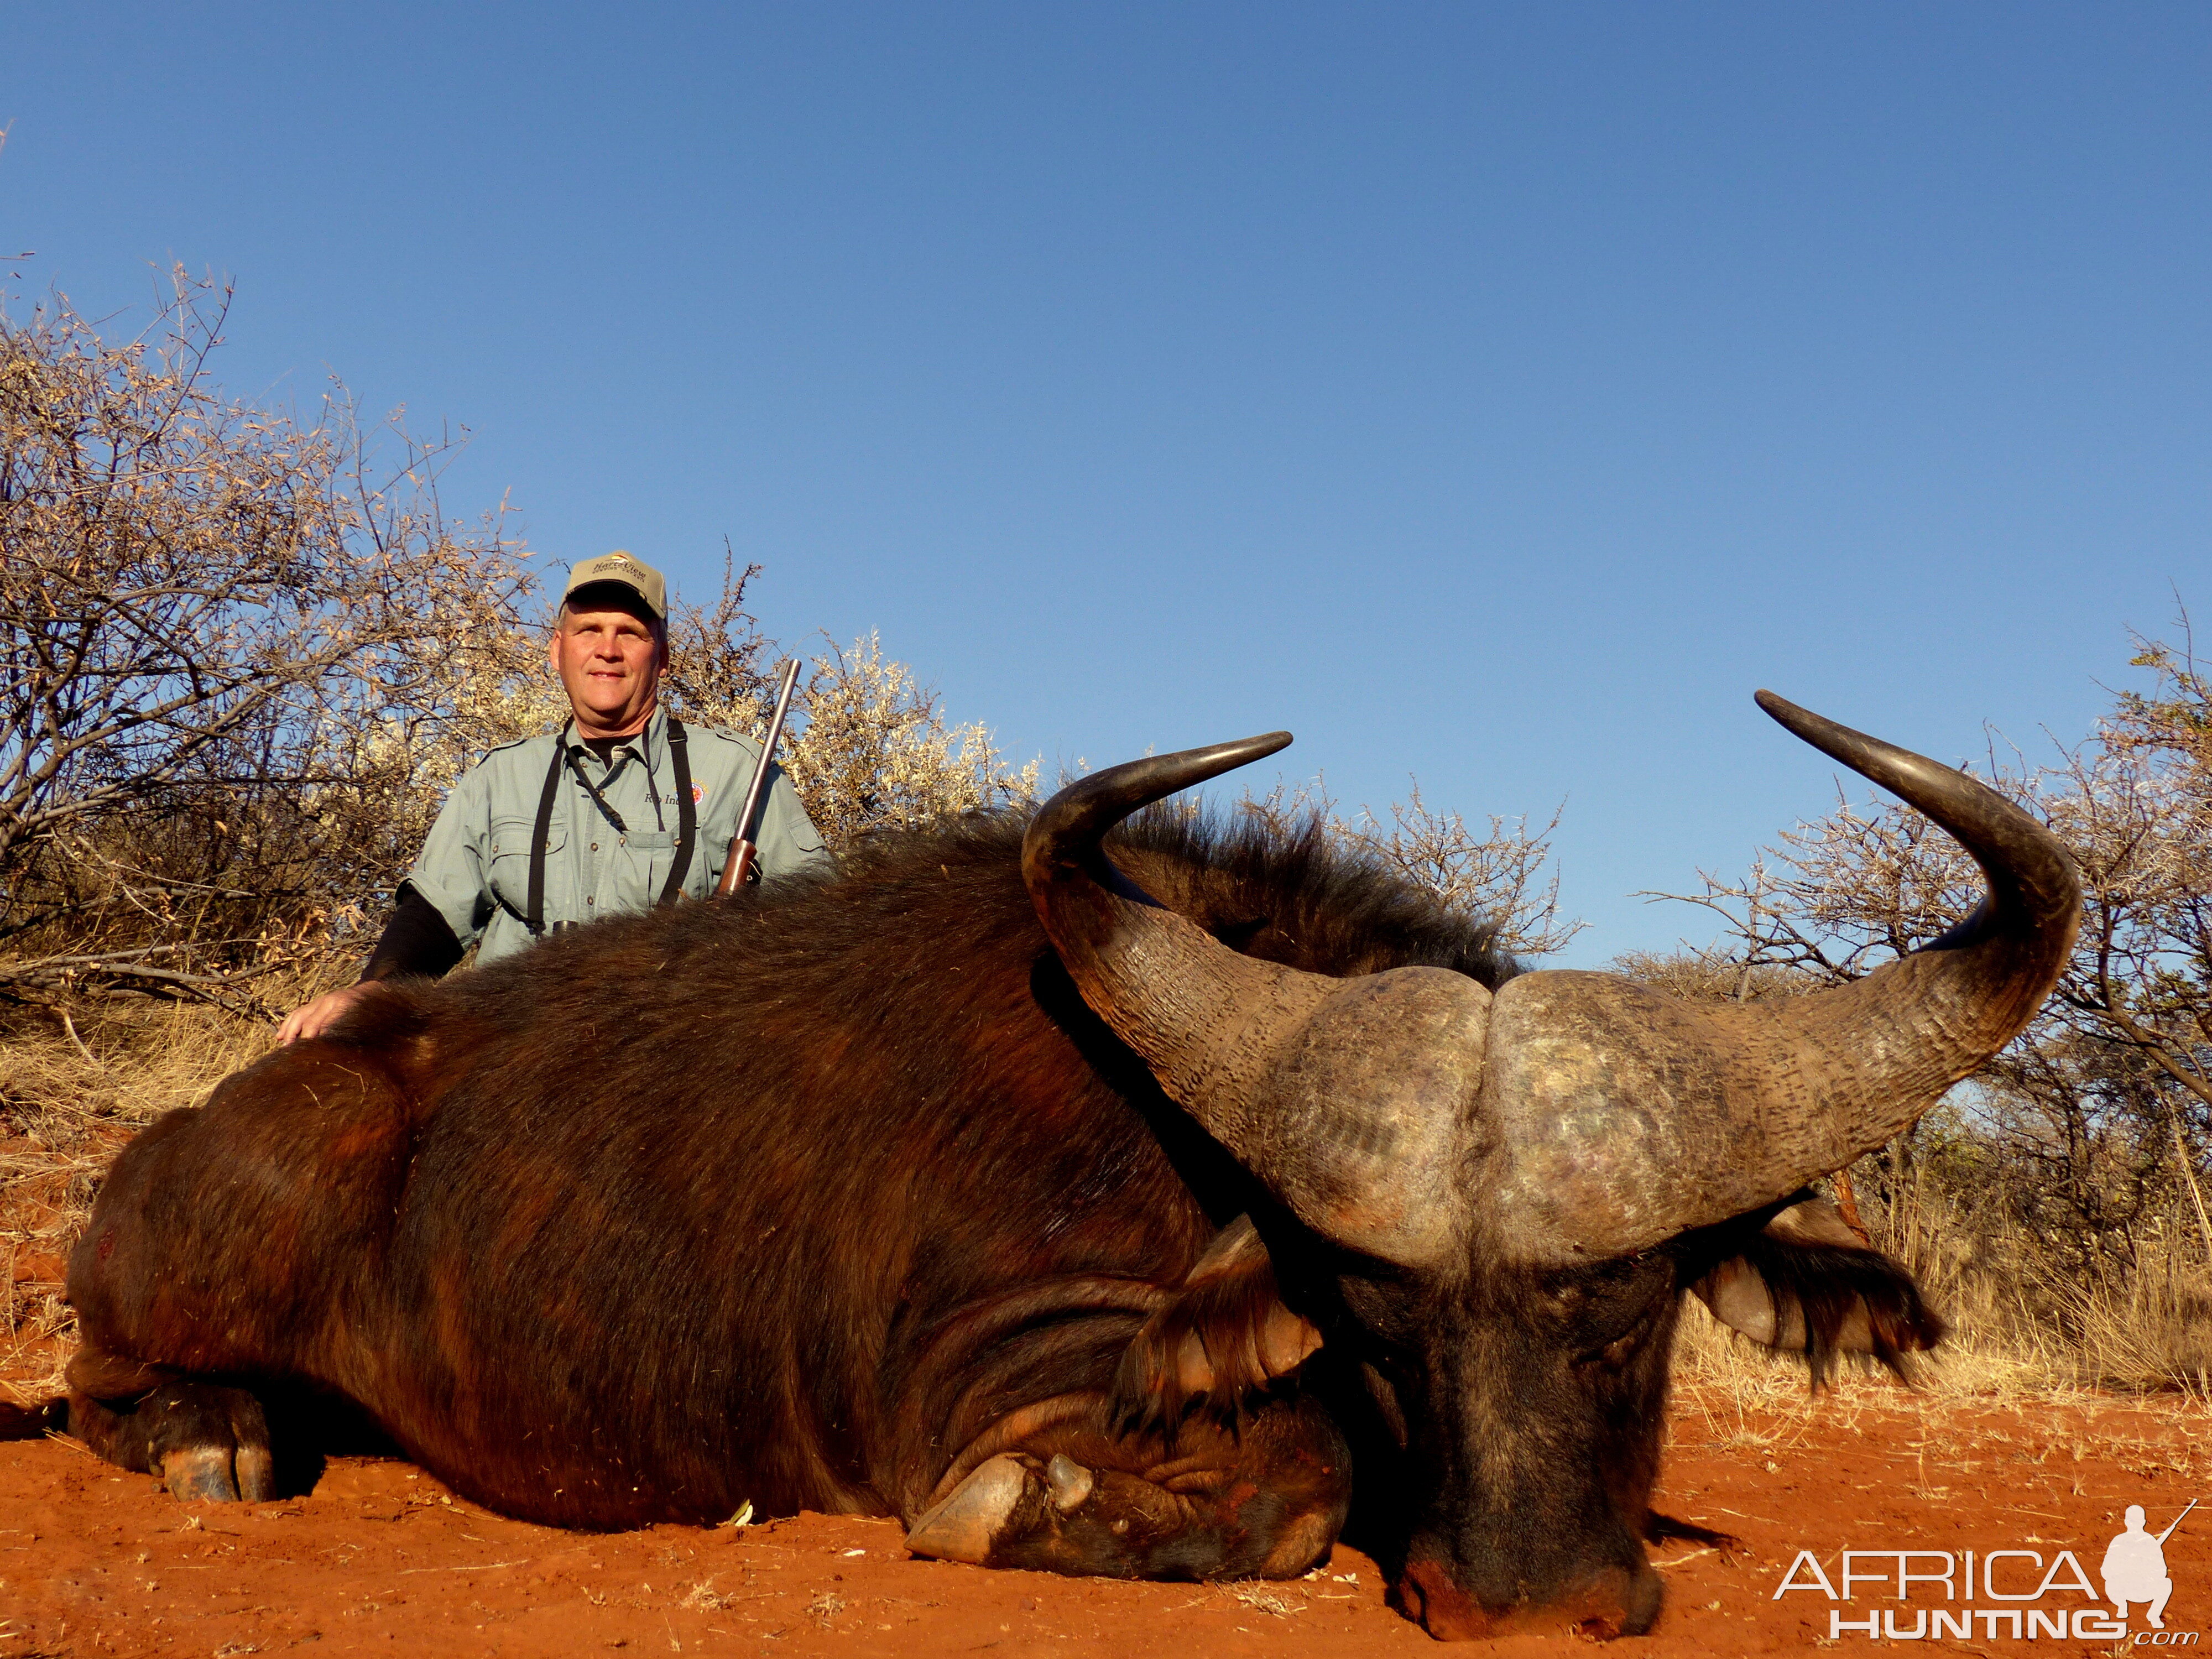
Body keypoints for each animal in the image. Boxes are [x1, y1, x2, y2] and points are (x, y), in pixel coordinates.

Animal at [13, 690, 2070, 1637]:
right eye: (1375, 1321)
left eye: (1634, 1312)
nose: (1529, 1609)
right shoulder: (1012, 1375)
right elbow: (1285, 1481)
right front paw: (1043, 1513)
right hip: (193, 1269)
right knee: (109, 1384)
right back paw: (212, 1439)